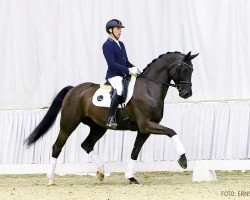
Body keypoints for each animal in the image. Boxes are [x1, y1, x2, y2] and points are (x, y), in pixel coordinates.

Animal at [24, 51, 197, 184]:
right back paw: (51, 179)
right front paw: (183, 160)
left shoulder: (144, 130)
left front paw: (131, 177)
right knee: (57, 147)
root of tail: (73, 89)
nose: (187, 93)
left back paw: (101, 172)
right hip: (68, 124)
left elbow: (135, 152)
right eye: (183, 69)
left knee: (86, 144)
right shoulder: (146, 124)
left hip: (98, 127)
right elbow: (172, 131)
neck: (149, 89)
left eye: (192, 70)